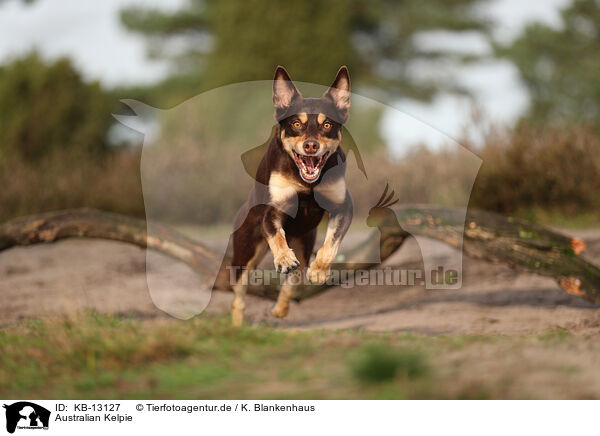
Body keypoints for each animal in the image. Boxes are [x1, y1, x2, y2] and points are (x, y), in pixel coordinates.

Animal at [229, 66, 352, 326]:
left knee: (294, 280)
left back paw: (280, 309)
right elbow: (277, 236)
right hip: (245, 253)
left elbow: (332, 243)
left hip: (304, 245)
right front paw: (284, 258)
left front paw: (319, 271)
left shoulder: (343, 207)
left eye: (327, 125)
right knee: (239, 295)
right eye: (296, 123)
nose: (311, 146)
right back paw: (237, 324)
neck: (306, 185)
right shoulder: (272, 211)